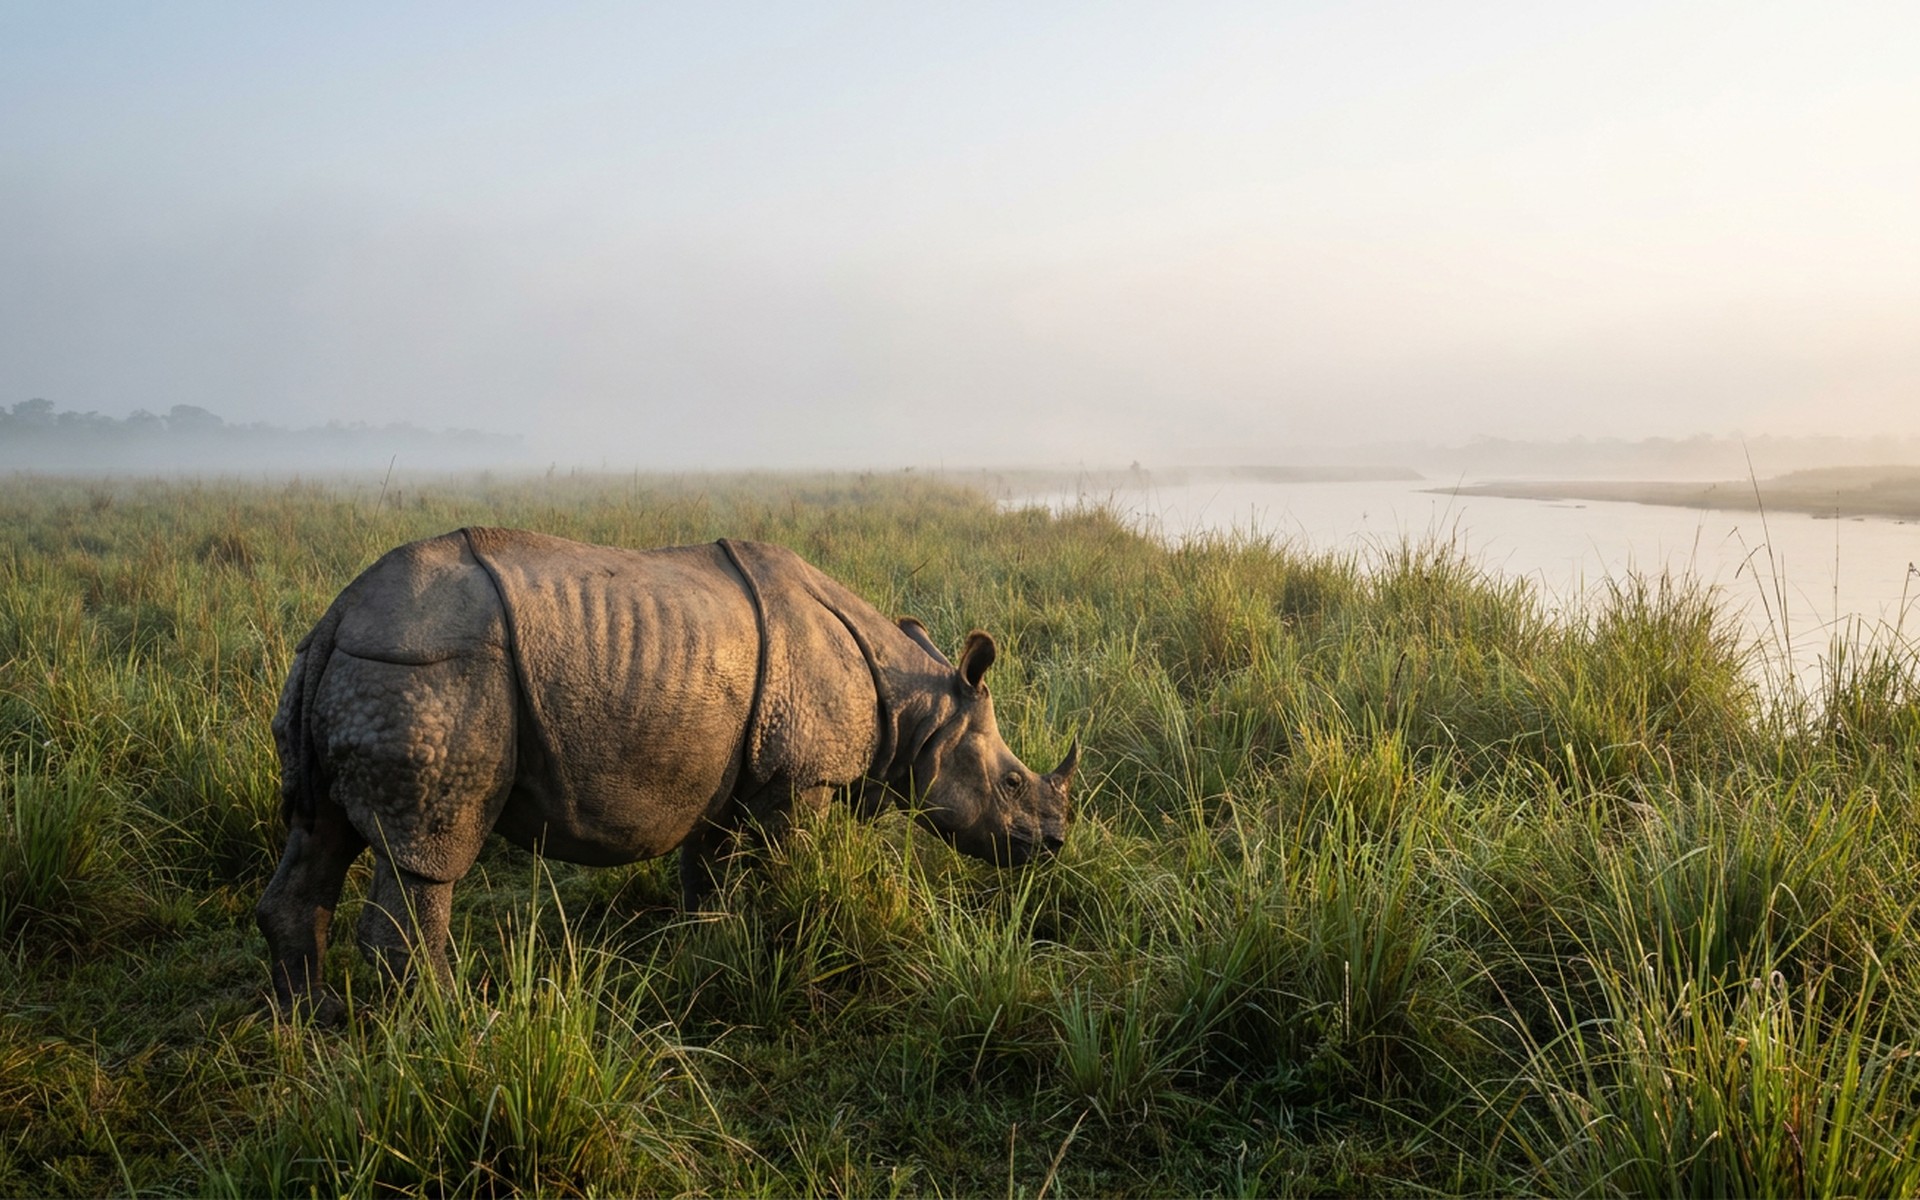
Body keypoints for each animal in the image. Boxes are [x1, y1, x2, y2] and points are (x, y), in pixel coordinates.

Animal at [258, 527, 1076, 1012]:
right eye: (1011, 783)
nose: (1054, 845)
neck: (916, 700)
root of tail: (336, 616)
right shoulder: (801, 780)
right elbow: (795, 869)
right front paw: (790, 934)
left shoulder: (724, 769)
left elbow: (706, 873)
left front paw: (709, 950)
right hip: (432, 670)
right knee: (427, 854)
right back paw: (451, 1024)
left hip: (364, 668)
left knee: (319, 832)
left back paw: (312, 1020)